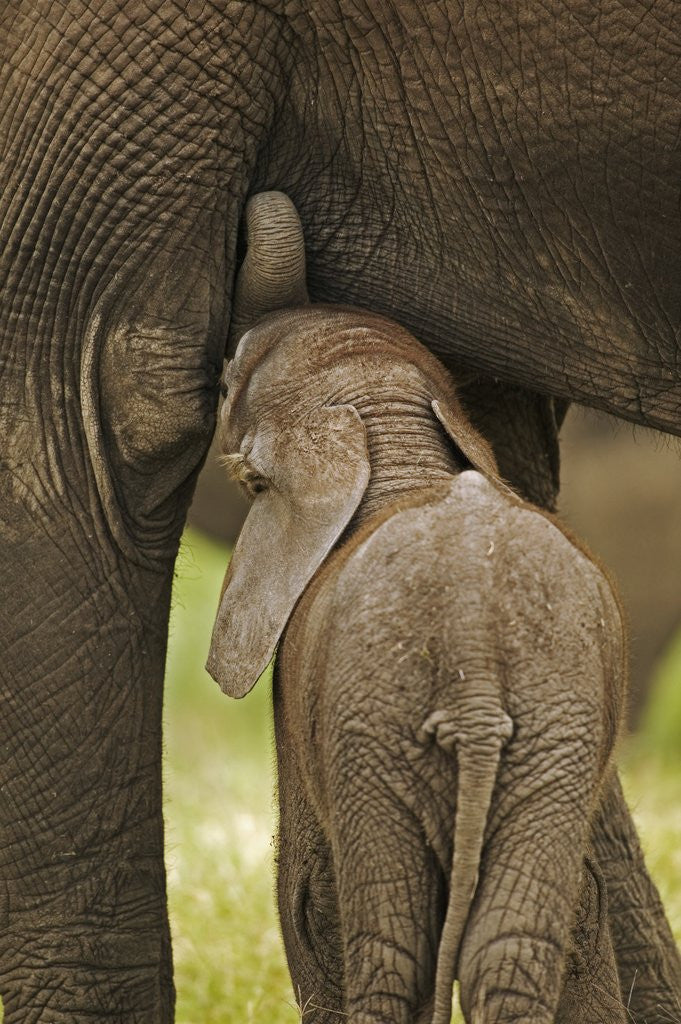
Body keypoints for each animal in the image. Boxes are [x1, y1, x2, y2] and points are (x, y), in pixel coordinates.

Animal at [207, 286, 629, 1023]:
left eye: (230, 382)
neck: (386, 425)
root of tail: (473, 655)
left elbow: (306, 900)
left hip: (375, 724)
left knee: (390, 937)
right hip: (555, 719)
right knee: (509, 941)